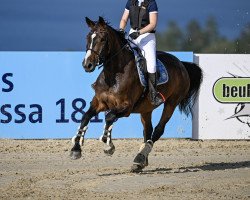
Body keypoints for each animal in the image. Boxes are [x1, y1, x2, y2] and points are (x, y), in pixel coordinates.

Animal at [70, 16, 203, 173]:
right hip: (146, 108)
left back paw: (140, 157)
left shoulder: (126, 107)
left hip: (171, 103)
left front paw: (108, 145)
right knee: (148, 130)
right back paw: (140, 161)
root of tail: (181, 64)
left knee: (158, 130)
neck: (113, 75)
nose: (87, 65)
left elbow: (109, 118)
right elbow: (85, 117)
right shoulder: (99, 102)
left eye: (102, 39)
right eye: (88, 37)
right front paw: (76, 149)